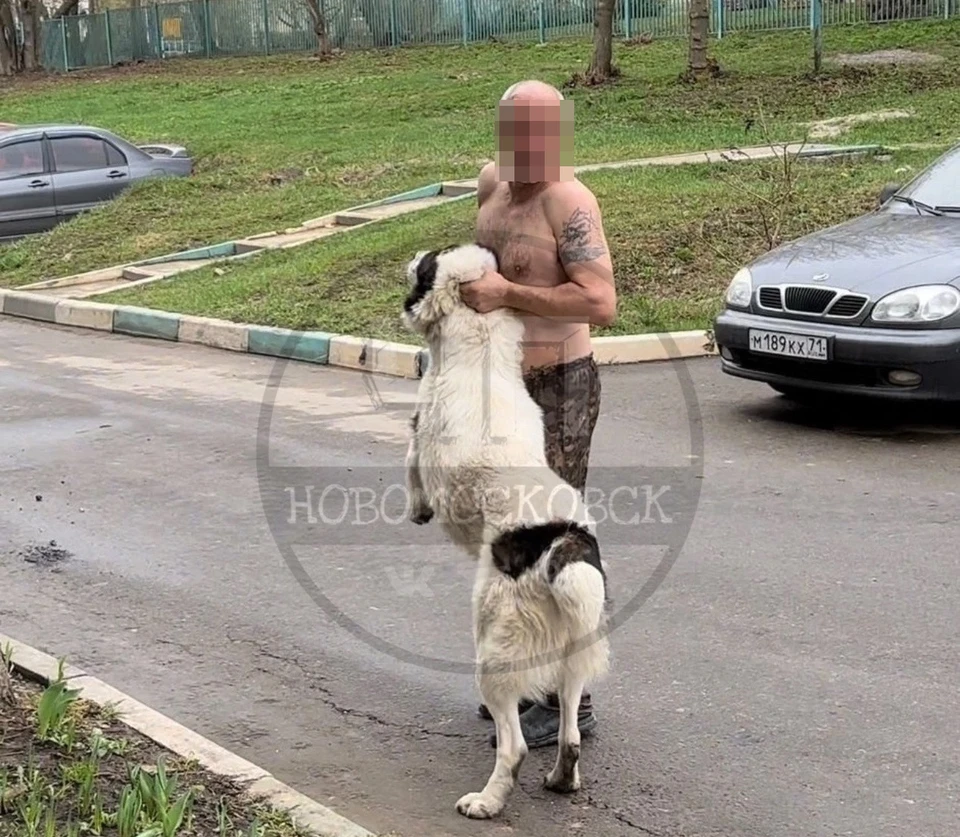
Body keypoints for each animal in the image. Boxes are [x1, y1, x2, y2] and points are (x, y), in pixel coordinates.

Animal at [402, 240, 612, 816]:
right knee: (570, 729)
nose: (413, 255)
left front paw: (416, 508)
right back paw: (562, 778)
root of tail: (563, 539)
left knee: (514, 745)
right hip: (574, 644)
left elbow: (409, 462)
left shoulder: (421, 431)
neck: (479, 344)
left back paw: (487, 801)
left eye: (426, 264)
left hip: (494, 646)